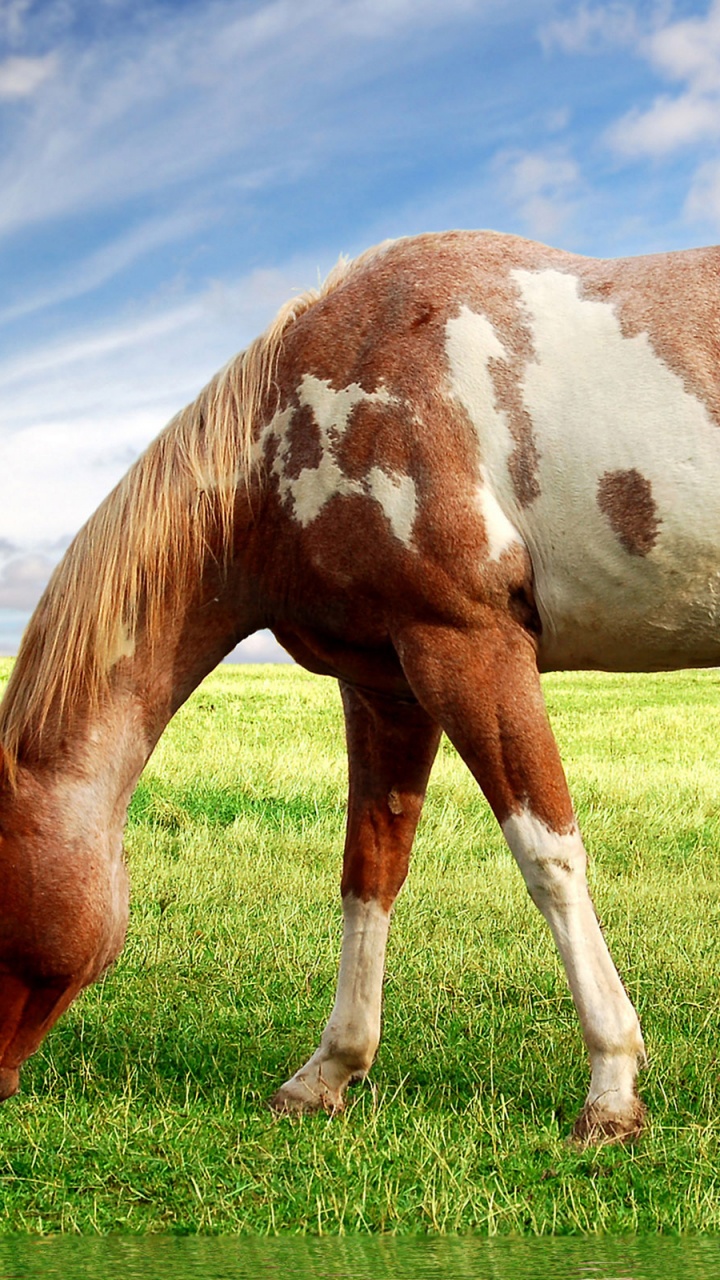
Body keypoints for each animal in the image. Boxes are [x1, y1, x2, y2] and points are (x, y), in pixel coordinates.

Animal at [1, 227, 717, 1144]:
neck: (288, 432)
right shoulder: (388, 684)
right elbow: (369, 869)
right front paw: (328, 1073)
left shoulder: (469, 647)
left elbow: (549, 857)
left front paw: (612, 1085)